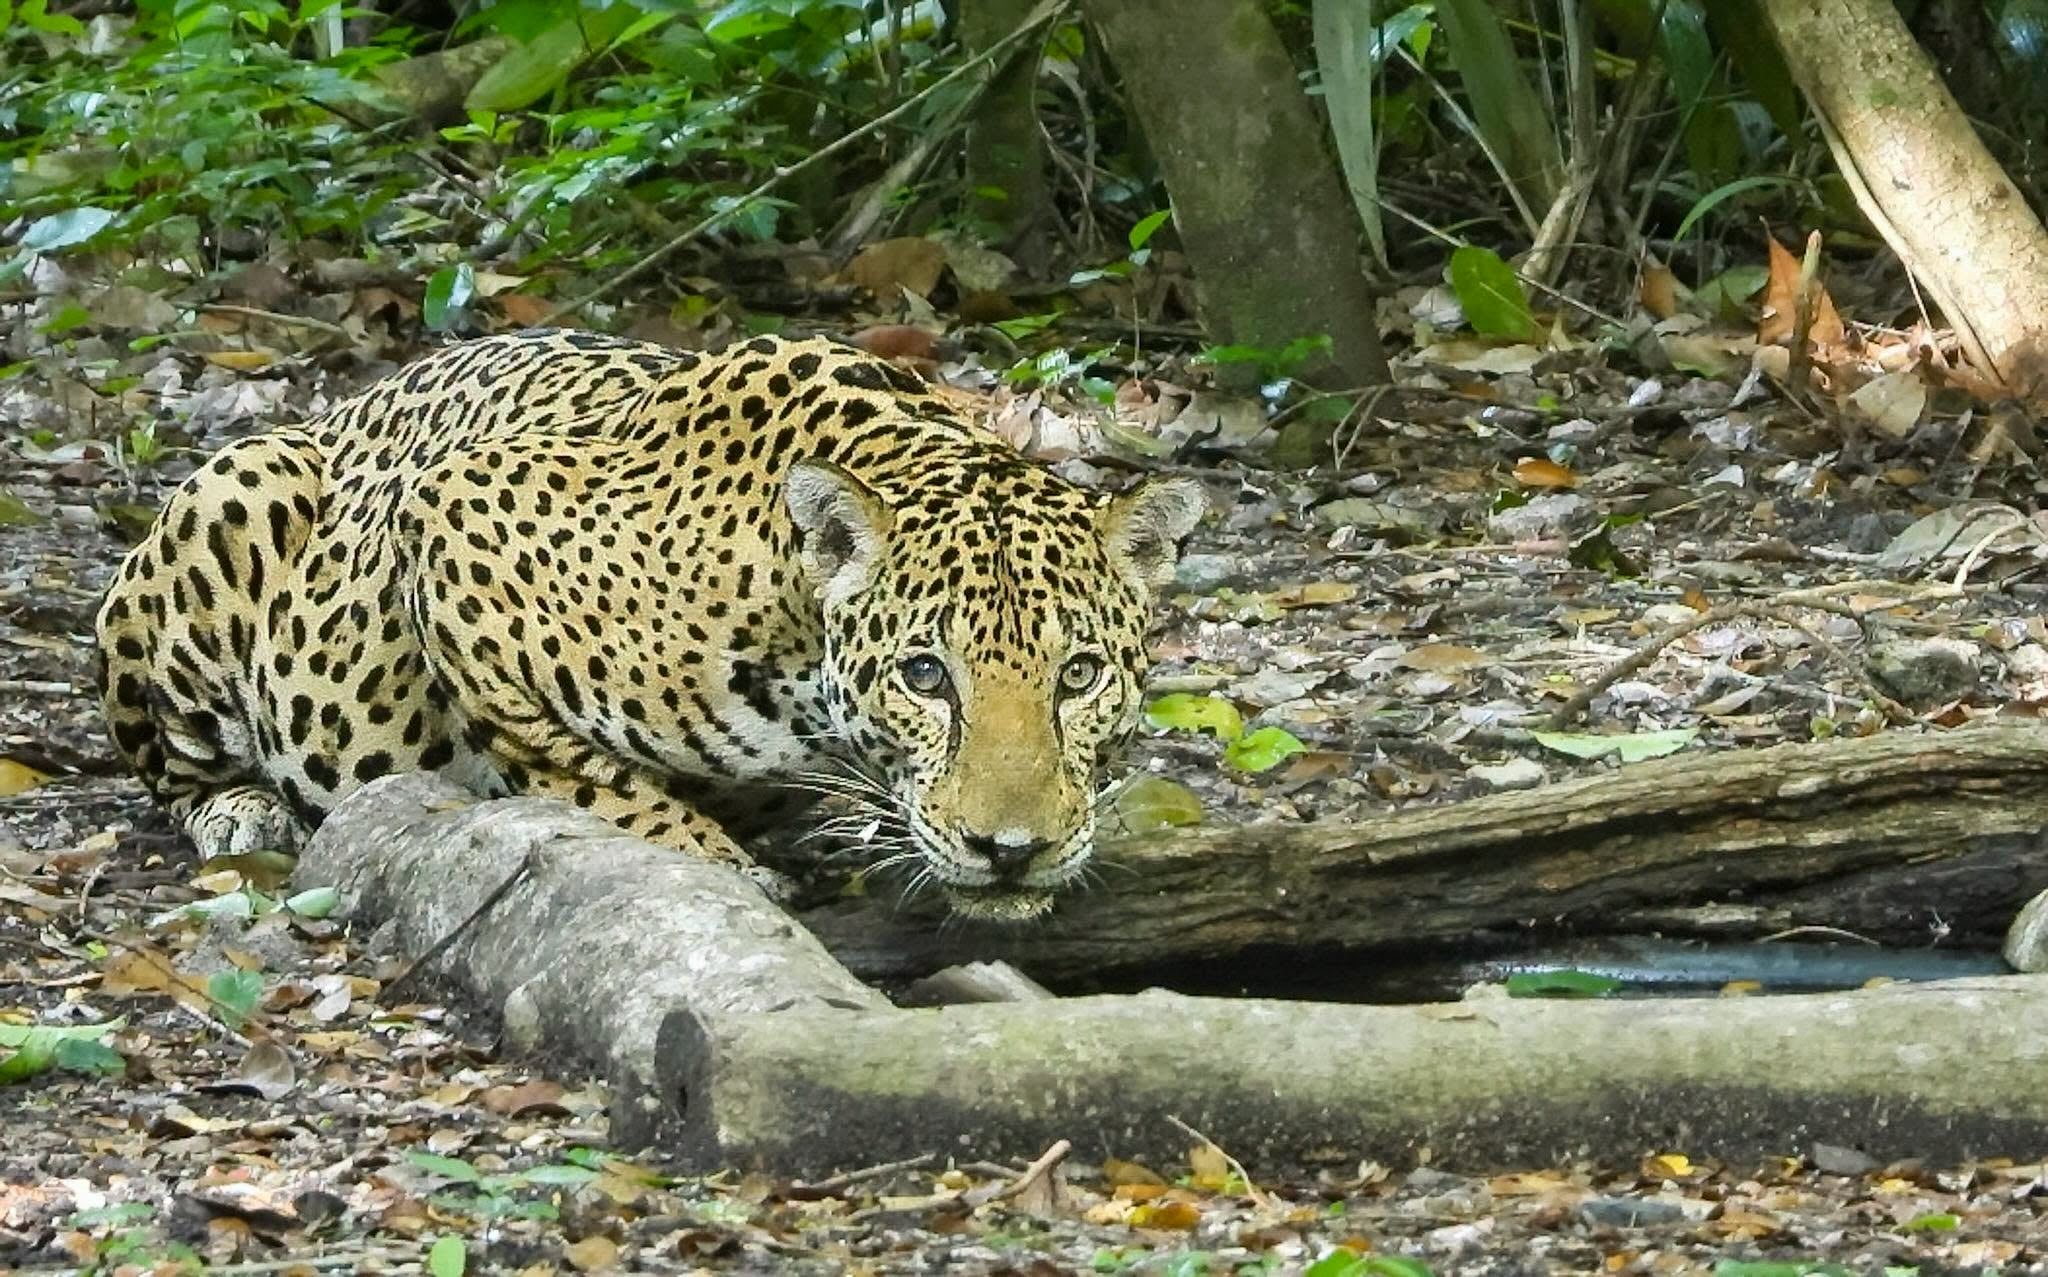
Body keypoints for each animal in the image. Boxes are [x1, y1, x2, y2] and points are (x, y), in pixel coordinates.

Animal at [95, 329, 1205, 920]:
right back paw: (238, 810)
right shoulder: (456, 519)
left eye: (1079, 675)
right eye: (925, 676)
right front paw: (721, 862)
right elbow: (586, 773)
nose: (1010, 849)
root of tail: (346, 403)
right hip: (233, 498)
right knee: (166, 761)